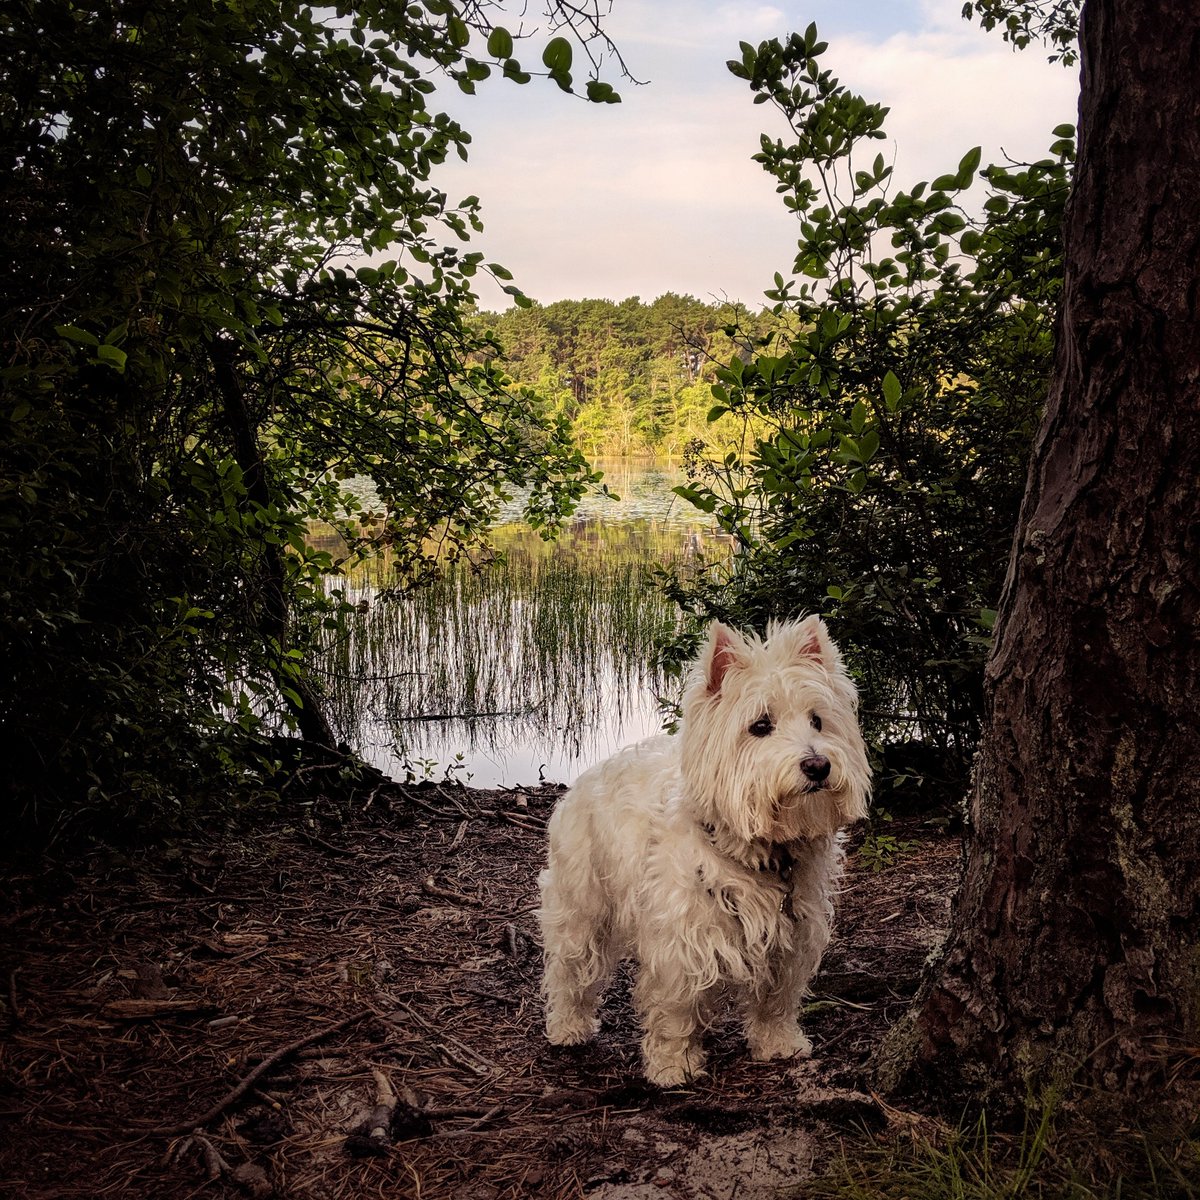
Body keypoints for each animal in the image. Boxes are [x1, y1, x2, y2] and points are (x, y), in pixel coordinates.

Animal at [540, 619, 868, 1089]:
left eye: (818, 721)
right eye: (760, 725)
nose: (818, 765)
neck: (761, 851)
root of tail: (586, 775)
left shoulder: (792, 937)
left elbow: (778, 999)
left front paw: (779, 1044)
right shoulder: (680, 944)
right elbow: (675, 1011)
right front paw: (673, 1066)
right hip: (581, 905)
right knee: (570, 969)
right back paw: (568, 1028)